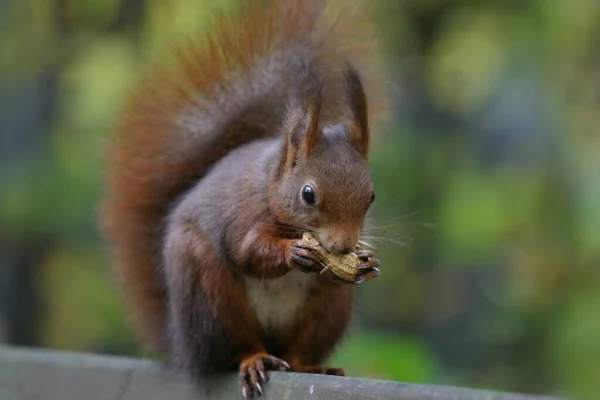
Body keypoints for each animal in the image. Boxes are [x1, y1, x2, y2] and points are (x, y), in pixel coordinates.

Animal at [99, 0, 390, 396]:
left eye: (371, 196)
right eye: (308, 194)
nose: (344, 246)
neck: (272, 189)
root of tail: (181, 342)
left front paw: (366, 262)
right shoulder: (244, 216)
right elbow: (247, 250)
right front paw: (292, 252)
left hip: (327, 311)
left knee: (298, 351)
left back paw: (311, 365)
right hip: (210, 295)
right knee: (235, 348)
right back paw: (253, 361)